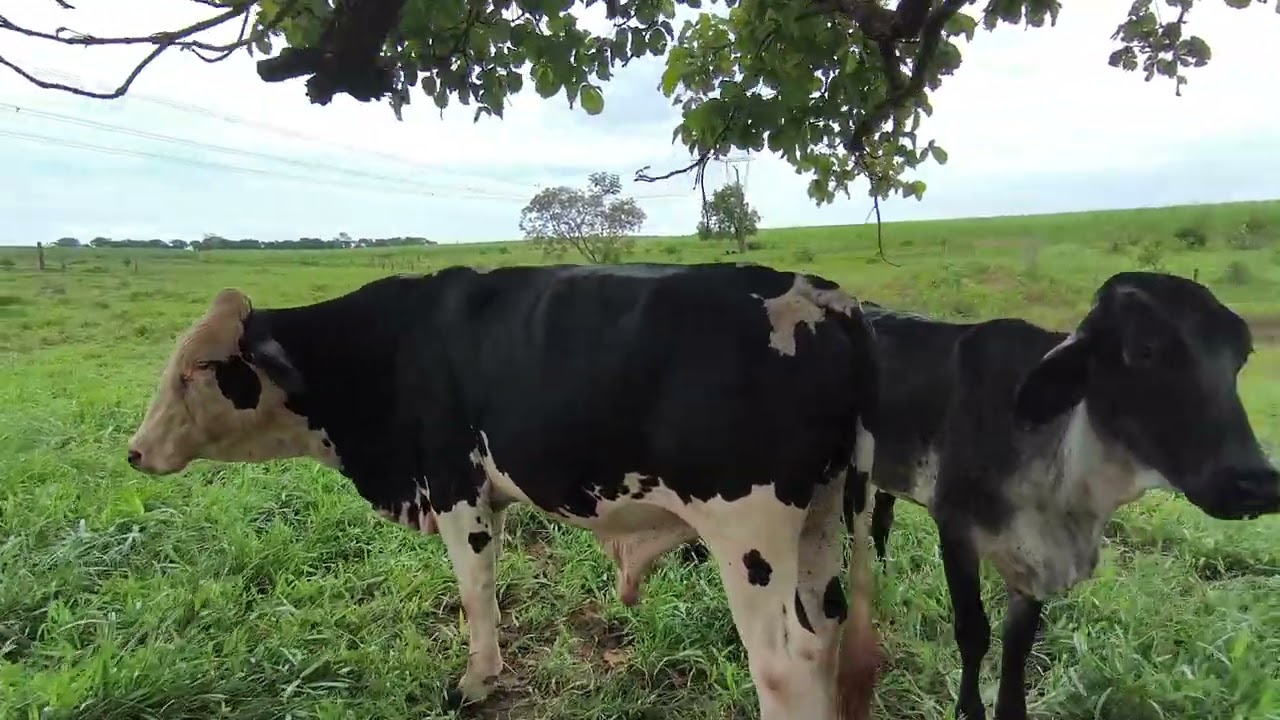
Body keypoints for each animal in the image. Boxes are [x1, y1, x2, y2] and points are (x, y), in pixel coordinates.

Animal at [124, 262, 885, 720]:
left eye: (200, 367)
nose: (134, 451)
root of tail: (821, 296)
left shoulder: (455, 487)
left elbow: (475, 591)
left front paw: (476, 681)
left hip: (748, 532)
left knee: (784, 664)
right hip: (820, 521)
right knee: (824, 636)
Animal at [631, 270, 1280, 720]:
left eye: (1240, 357)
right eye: (1142, 351)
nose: (1254, 482)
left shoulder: (1030, 560)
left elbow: (1017, 646)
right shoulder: (957, 530)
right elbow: (975, 632)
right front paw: (969, 709)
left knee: (878, 522)